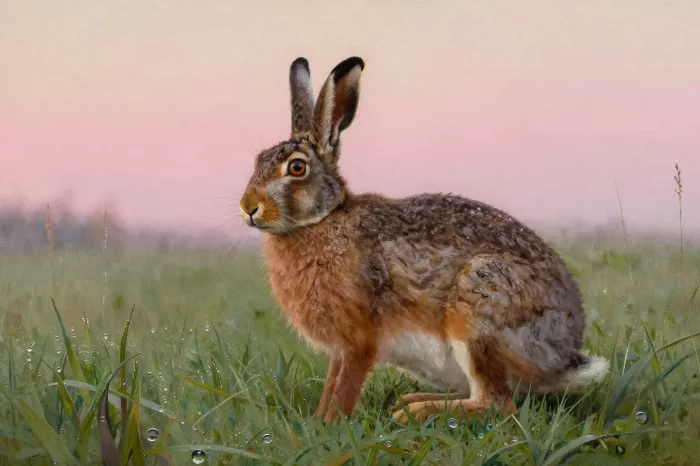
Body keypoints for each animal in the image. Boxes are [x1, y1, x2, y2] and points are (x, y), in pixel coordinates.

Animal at [238, 56, 610, 424]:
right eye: (257, 162)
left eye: (296, 168)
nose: (249, 208)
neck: (323, 219)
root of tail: (562, 358)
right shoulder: (339, 349)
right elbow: (332, 381)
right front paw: (318, 419)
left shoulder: (358, 338)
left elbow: (345, 386)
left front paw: (330, 424)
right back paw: (411, 402)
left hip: (478, 309)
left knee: (495, 403)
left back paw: (415, 412)